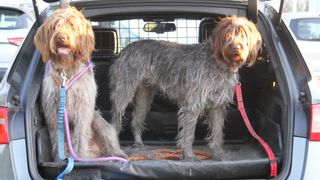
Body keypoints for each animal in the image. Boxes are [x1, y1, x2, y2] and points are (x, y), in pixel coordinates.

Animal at [34, 7, 126, 162]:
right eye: (55, 26)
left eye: (72, 25)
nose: (61, 37)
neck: (66, 70)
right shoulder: (52, 108)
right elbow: (56, 135)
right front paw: (60, 158)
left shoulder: (83, 107)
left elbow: (81, 133)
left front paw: (80, 156)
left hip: (99, 122)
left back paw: (115, 155)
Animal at [109, 15, 262, 160]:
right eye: (227, 35)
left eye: (243, 34)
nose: (235, 47)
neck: (220, 63)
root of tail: (125, 50)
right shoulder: (193, 104)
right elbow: (189, 133)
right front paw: (188, 155)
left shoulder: (218, 105)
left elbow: (218, 132)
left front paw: (218, 154)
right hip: (123, 93)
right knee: (115, 121)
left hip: (144, 96)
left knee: (136, 121)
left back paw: (139, 145)